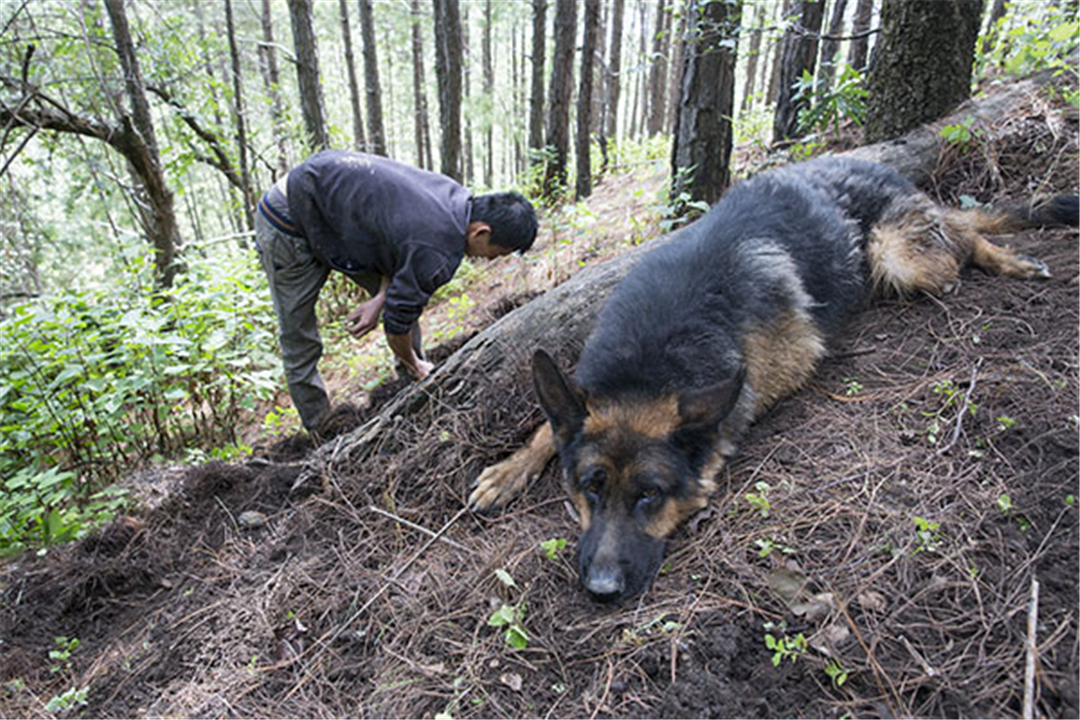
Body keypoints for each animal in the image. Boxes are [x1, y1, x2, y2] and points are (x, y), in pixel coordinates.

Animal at [468, 157, 1075, 604]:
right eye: (590, 487)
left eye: (651, 495)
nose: (601, 591)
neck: (654, 358)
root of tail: (882, 166)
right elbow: (548, 428)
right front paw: (508, 470)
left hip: (899, 255)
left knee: (963, 238)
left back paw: (1008, 260)